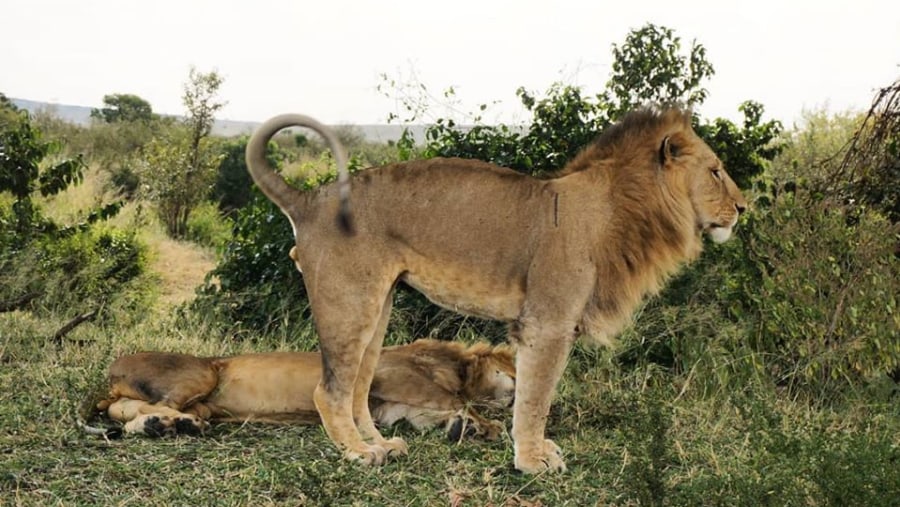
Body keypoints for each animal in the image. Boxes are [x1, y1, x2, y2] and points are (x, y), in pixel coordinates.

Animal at [244, 105, 744, 474]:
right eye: (716, 171)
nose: (743, 207)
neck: (623, 209)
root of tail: (309, 200)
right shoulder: (548, 323)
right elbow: (537, 396)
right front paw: (532, 461)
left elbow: (531, 393)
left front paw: (536, 451)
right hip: (348, 305)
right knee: (329, 391)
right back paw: (359, 453)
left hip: (376, 308)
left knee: (358, 388)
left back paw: (382, 444)